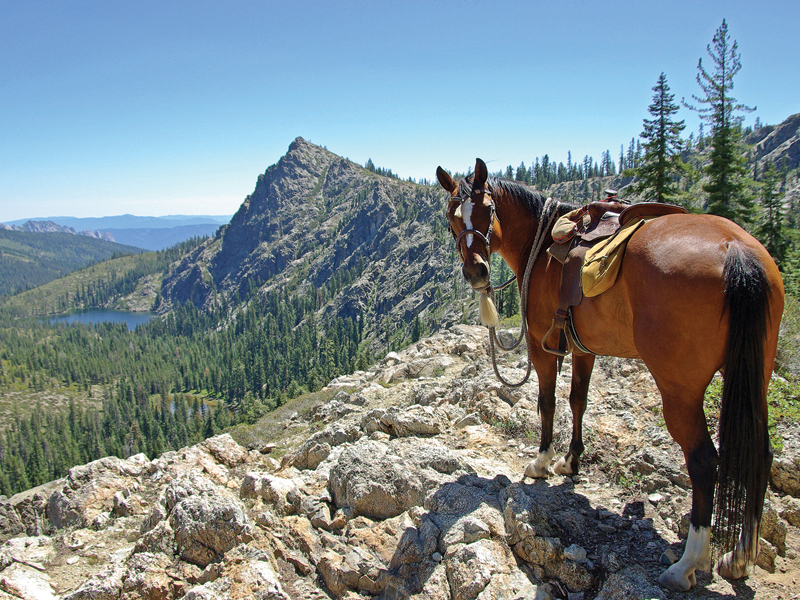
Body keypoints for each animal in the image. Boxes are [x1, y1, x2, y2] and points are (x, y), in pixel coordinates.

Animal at [437, 159, 784, 592]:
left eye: (487, 210)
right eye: (451, 218)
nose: (476, 271)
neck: (541, 242)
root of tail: (735, 249)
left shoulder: (541, 344)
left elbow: (547, 402)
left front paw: (542, 462)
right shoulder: (583, 348)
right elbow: (578, 401)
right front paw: (571, 462)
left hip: (680, 390)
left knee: (705, 462)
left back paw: (686, 564)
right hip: (755, 374)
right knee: (761, 453)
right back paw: (739, 556)